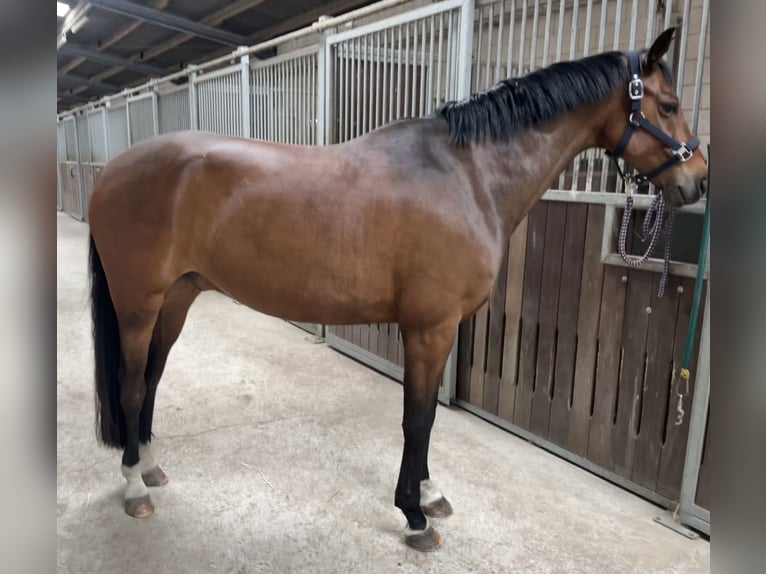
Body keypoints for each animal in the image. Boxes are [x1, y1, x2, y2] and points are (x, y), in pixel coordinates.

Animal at [87, 27, 706, 551]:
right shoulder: (428, 327)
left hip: (176, 297)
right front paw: (414, 515)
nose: (696, 180)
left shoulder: (440, 329)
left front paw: (429, 495)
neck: (468, 176)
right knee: (131, 385)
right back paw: (134, 487)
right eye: (669, 106)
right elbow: (418, 419)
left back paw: (149, 467)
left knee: (151, 379)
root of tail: (112, 171)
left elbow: (426, 414)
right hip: (139, 304)